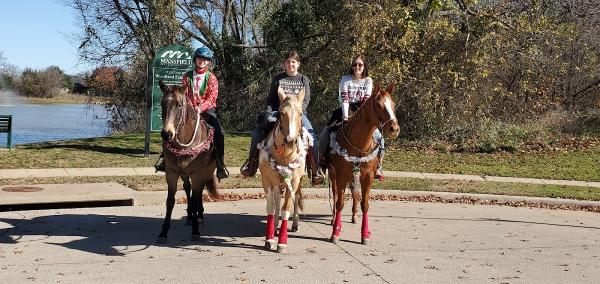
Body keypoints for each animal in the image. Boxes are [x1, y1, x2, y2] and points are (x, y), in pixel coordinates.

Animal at [157, 80, 218, 242]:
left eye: (179, 104)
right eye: (162, 103)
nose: (167, 134)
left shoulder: (197, 174)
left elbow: (196, 198)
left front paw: (195, 231)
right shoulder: (171, 173)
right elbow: (170, 201)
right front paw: (163, 232)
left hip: (205, 174)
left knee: (199, 192)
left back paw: (199, 216)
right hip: (184, 174)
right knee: (187, 188)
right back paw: (191, 216)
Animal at [258, 86, 310, 253]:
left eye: (300, 113)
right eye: (281, 113)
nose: (291, 140)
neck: (284, 154)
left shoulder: (292, 181)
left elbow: (286, 209)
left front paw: (282, 243)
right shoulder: (267, 180)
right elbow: (271, 207)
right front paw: (269, 239)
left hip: (298, 181)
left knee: (296, 198)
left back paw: (295, 224)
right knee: (276, 201)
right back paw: (275, 226)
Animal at [326, 84, 400, 244]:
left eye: (393, 104)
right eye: (378, 105)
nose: (394, 129)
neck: (358, 143)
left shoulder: (367, 176)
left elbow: (364, 204)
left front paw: (365, 234)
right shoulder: (341, 175)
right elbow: (340, 202)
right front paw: (335, 233)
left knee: (355, 193)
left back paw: (354, 216)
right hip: (333, 175)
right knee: (335, 195)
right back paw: (334, 219)